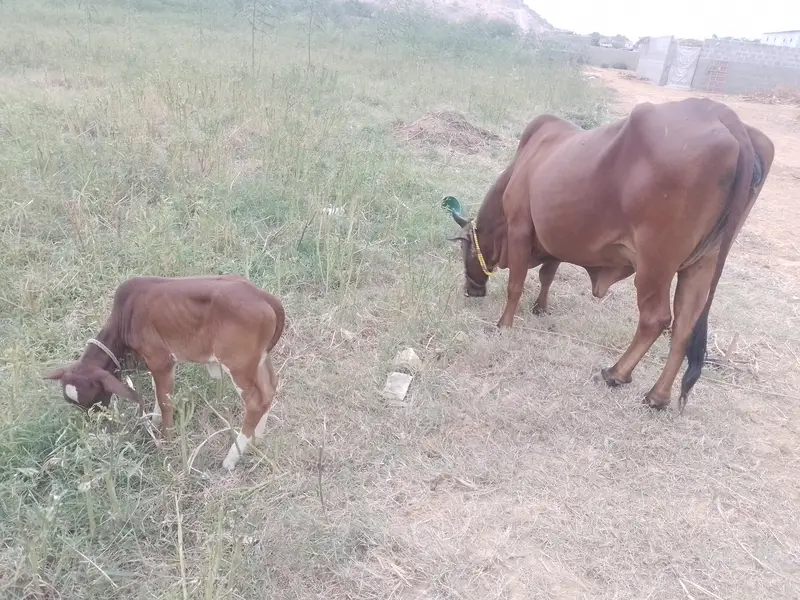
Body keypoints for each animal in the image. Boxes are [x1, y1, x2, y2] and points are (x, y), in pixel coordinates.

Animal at [44, 275, 285, 471]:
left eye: (94, 401)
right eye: (75, 406)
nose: (95, 429)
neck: (124, 318)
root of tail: (261, 295)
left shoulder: (161, 360)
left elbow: (165, 400)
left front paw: (167, 441)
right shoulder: (156, 364)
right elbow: (157, 390)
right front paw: (154, 421)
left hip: (239, 366)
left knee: (255, 402)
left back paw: (232, 458)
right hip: (258, 361)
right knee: (269, 389)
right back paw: (256, 440)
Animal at [448, 97, 774, 411]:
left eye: (464, 248)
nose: (471, 291)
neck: (523, 163)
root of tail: (725, 117)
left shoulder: (520, 228)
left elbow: (516, 284)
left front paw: (504, 325)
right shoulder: (553, 238)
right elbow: (547, 275)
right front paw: (541, 307)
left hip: (655, 263)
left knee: (655, 319)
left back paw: (616, 373)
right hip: (702, 263)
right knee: (683, 327)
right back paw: (657, 396)